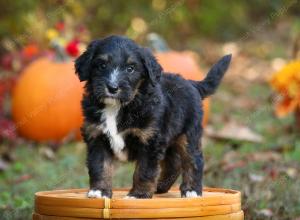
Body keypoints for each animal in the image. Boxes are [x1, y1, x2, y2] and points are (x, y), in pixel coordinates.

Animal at [75, 35, 232, 199]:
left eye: (130, 68)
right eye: (102, 65)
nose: (112, 88)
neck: (118, 107)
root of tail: (191, 83)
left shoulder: (150, 141)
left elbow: (144, 171)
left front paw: (139, 194)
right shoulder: (97, 136)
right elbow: (100, 167)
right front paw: (99, 191)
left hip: (189, 134)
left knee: (194, 160)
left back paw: (192, 190)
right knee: (173, 164)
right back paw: (160, 186)